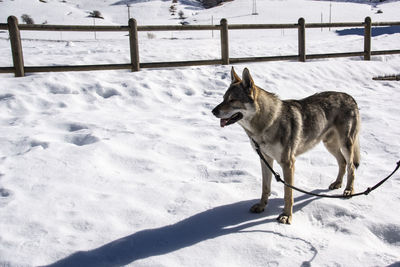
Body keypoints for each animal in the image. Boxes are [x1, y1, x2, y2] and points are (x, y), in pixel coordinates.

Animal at [211, 67, 360, 224]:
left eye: (232, 100)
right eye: (223, 98)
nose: (213, 111)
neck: (265, 126)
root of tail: (350, 97)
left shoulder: (288, 163)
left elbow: (288, 194)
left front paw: (286, 216)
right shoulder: (265, 159)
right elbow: (265, 187)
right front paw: (261, 206)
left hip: (345, 145)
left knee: (351, 167)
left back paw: (349, 190)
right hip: (329, 145)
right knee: (342, 162)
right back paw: (337, 183)